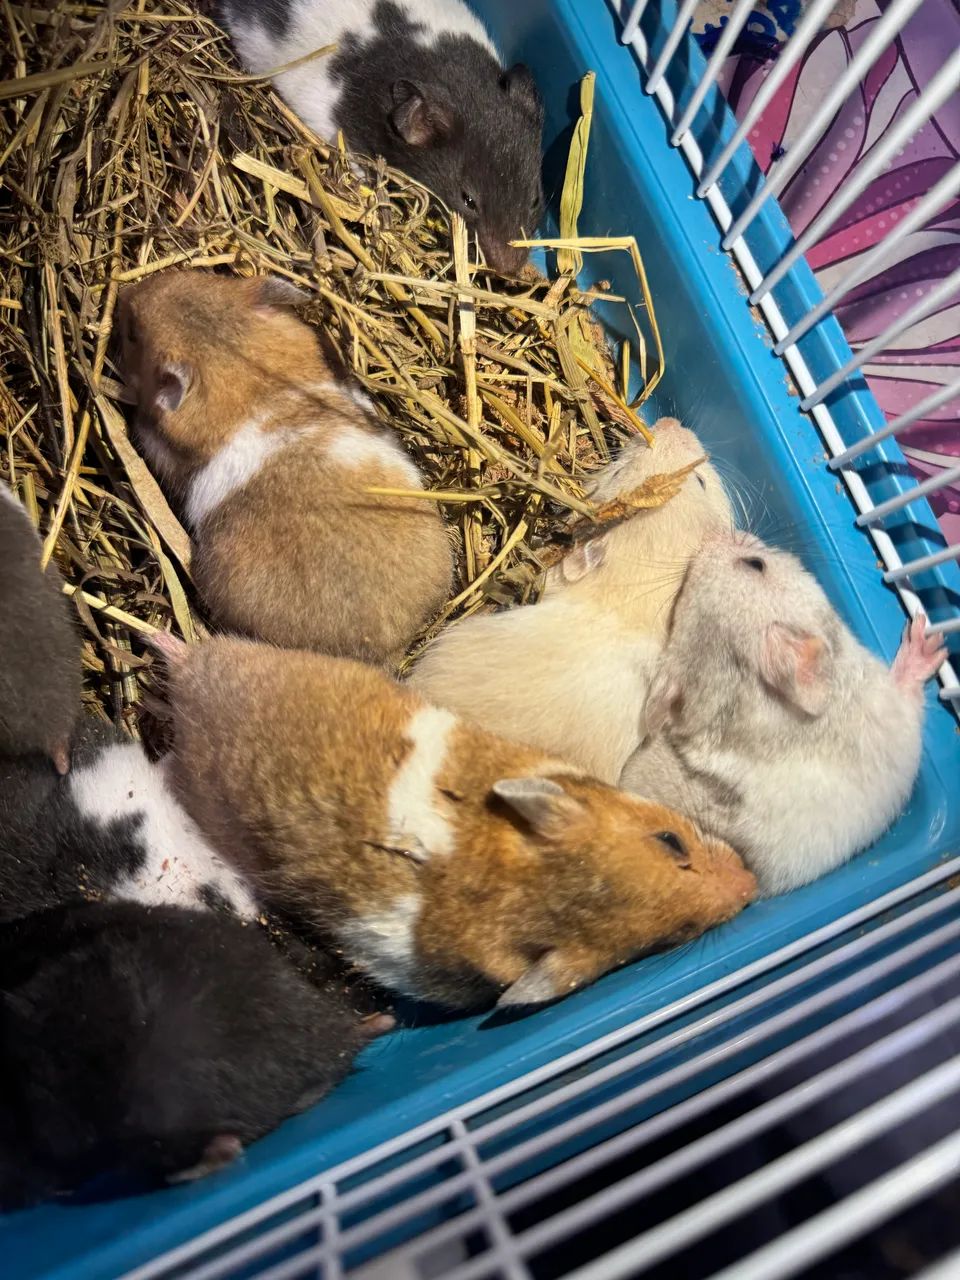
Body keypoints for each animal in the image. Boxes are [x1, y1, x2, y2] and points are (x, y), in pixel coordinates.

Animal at [620, 530, 948, 897]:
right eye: (756, 564)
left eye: (679, 598)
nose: (719, 533)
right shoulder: (892, 718)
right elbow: (908, 692)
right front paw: (928, 639)